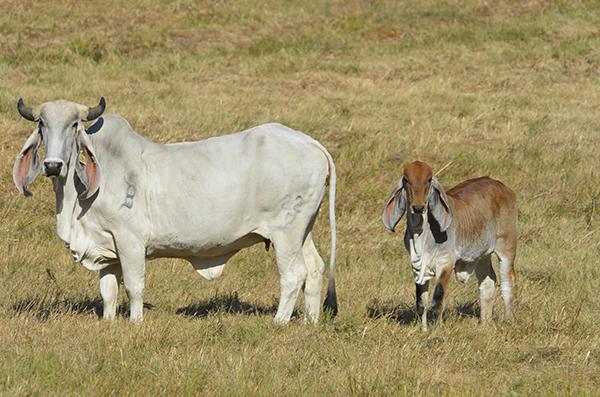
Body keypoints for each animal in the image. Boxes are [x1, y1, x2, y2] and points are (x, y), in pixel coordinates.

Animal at [11, 98, 338, 322]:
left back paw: (280, 322)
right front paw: (109, 322)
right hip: (302, 232)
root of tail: (310, 143)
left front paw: (135, 322)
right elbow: (108, 292)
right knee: (314, 268)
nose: (53, 165)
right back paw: (309, 323)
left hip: (286, 233)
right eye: (41, 124)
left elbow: (134, 286)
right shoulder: (106, 249)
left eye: (75, 125)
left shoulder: (130, 240)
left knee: (294, 274)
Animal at [384, 159, 516, 330]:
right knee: (488, 282)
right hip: (482, 255)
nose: (418, 207)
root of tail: (503, 187)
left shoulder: (445, 263)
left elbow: (437, 299)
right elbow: (421, 302)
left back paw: (508, 319)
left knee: (507, 282)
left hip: (507, 248)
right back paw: (485, 322)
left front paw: (436, 327)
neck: (422, 234)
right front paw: (424, 329)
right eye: (406, 180)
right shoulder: (417, 267)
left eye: (429, 179)